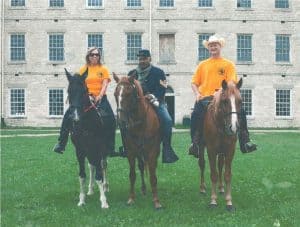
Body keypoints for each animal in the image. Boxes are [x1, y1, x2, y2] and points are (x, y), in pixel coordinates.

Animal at [65, 68, 109, 208]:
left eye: (84, 90)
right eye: (69, 90)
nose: (75, 116)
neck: (85, 124)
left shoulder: (99, 148)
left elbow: (99, 175)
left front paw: (103, 201)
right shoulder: (80, 150)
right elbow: (82, 175)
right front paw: (82, 199)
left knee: (103, 165)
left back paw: (105, 187)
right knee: (92, 166)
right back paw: (90, 189)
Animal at [113, 72, 163, 209]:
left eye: (129, 93)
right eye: (115, 94)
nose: (121, 121)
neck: (140, 123)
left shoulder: (152, 152)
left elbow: (153, 175)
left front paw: (156, 201)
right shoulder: (131, 152)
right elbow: (132, 174)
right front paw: (131, 198)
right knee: (141, 167)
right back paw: (144, 189)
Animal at [198, 79, 243, 212]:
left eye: (240, 101)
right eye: (225, 101)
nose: (234, 127)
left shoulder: (230, 150)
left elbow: (227, 174)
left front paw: (229, 202)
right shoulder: (211, 150)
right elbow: (213, 174)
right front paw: (213, 201)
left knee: (220, 165)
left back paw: (221, 188)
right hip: (202, 148)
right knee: (202, 164)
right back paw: (202, 188)